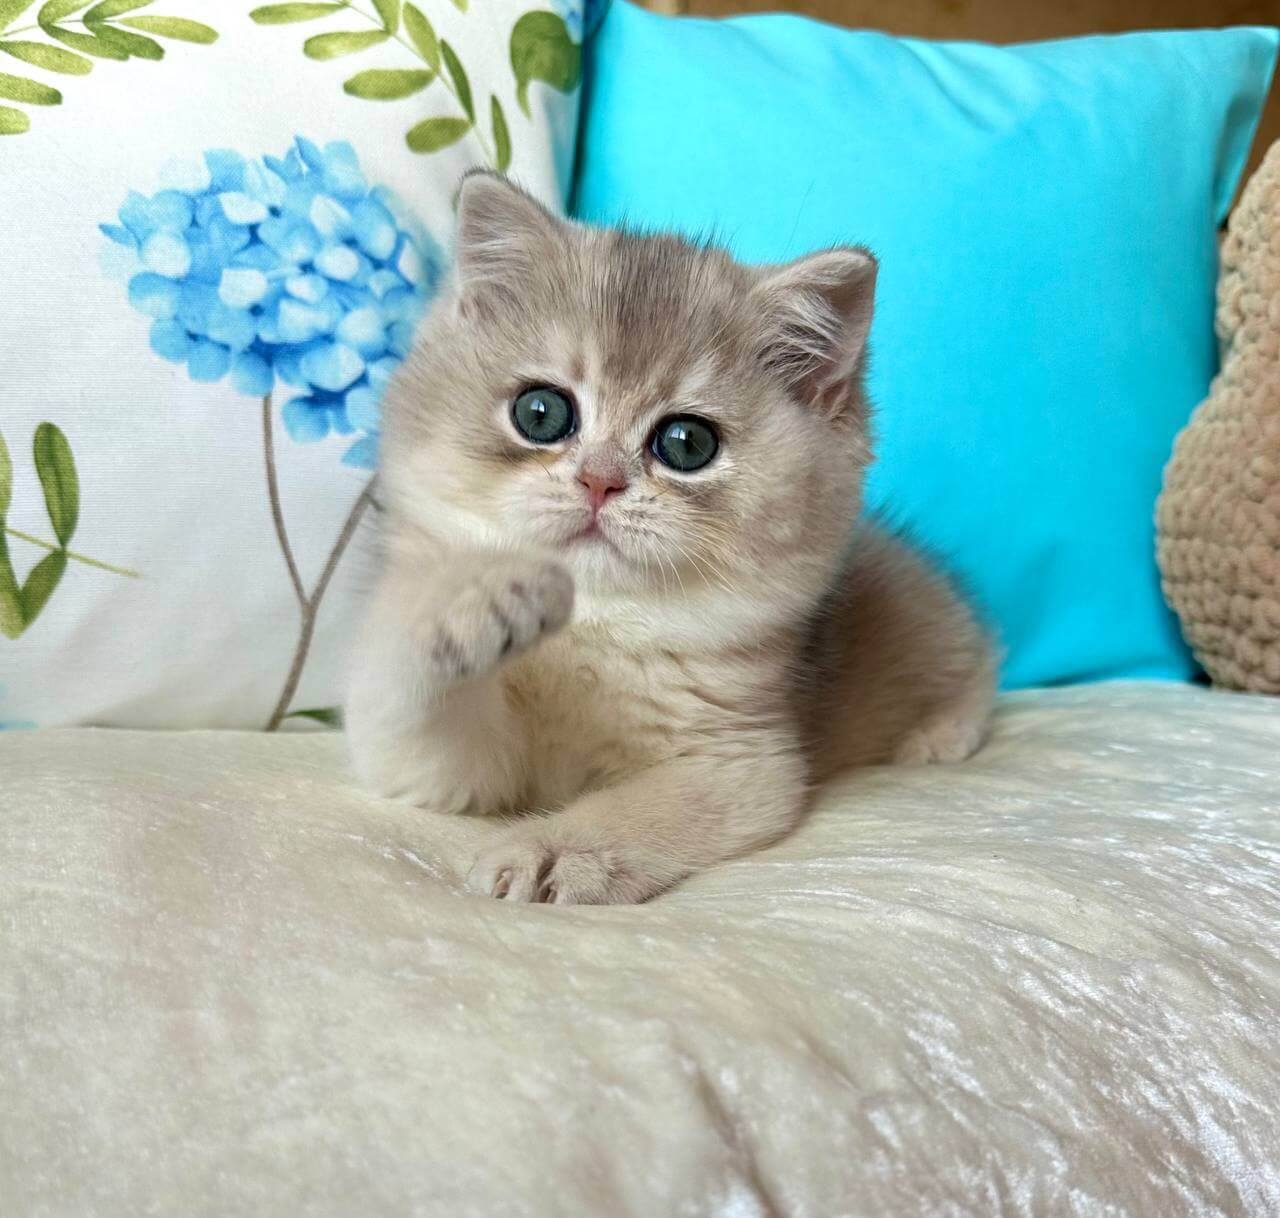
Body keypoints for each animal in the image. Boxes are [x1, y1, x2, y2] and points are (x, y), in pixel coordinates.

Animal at [344, 172, 995, 905]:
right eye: (540, 413)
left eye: (686, 443)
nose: (599, 481)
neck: (596, 629)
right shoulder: (458, 770)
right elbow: (410, 707)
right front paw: (479, 601)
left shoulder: (740, 763)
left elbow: (632, 811)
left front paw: (552, 852)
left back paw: (940, 734)